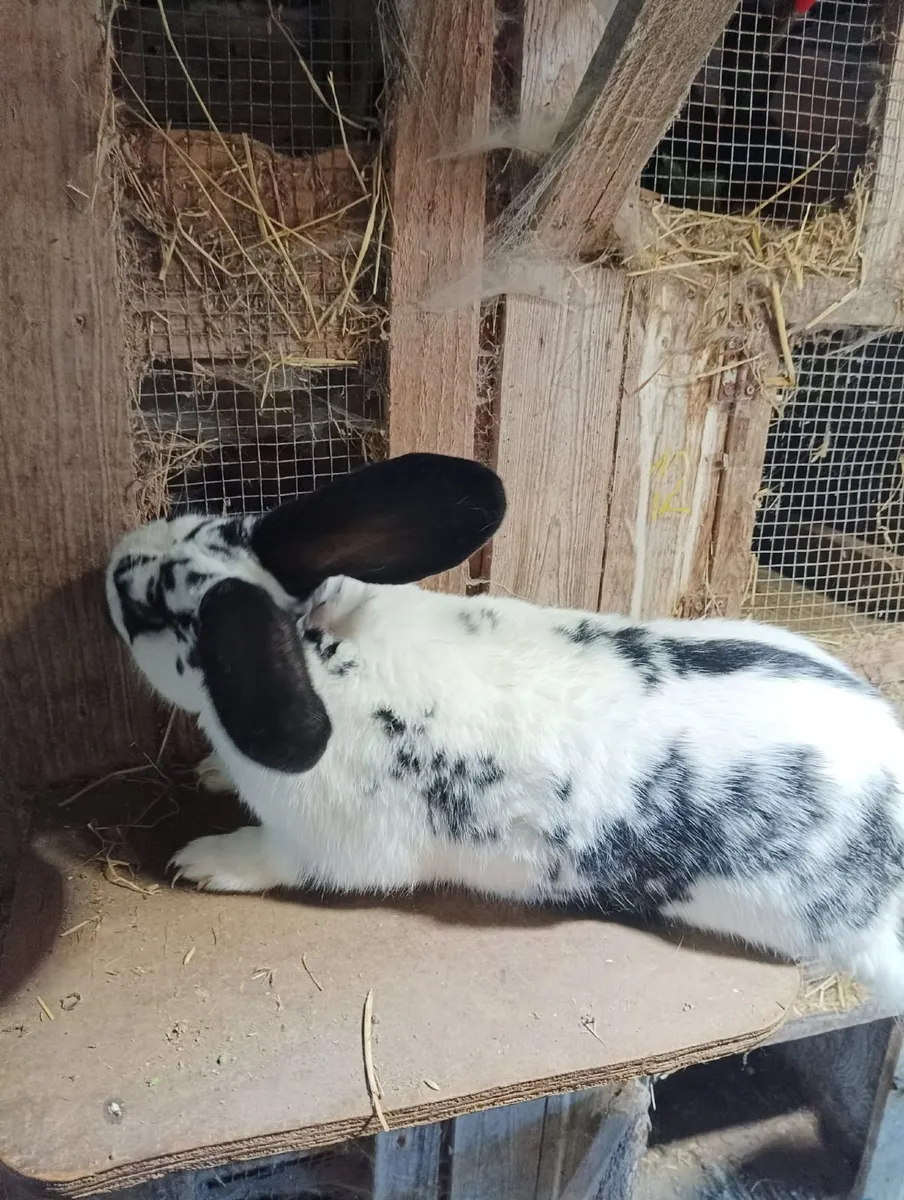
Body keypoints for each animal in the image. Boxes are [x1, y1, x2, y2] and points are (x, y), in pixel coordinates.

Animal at [106, 453, 904, 1008]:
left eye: (149, 612)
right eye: (204, 523)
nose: (112, 566)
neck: (321, 655)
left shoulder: (320, 846)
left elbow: (266, 859)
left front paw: (202, 860)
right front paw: (211, 771)